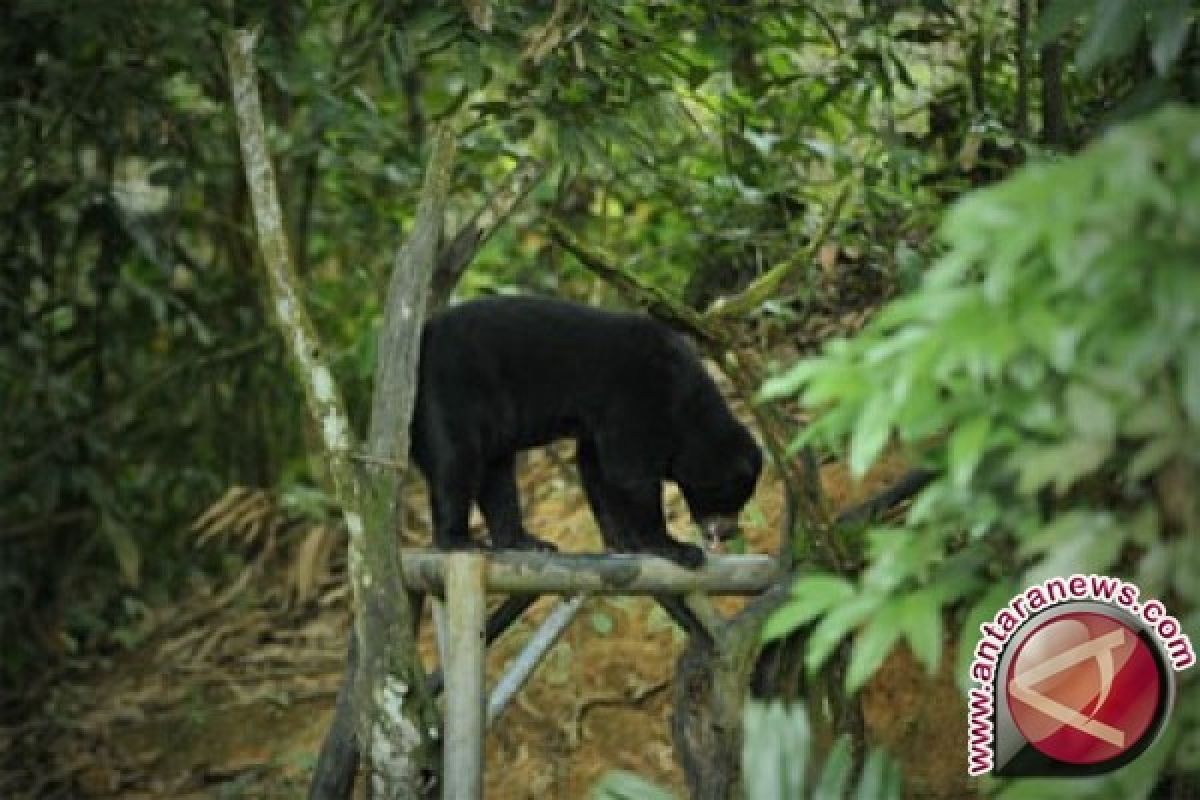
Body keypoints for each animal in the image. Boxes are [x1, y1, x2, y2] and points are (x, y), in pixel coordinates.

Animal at [412, 296, 758, 568]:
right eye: (733, 495)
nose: (729, 532)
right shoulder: (637, 396)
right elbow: (630, 472)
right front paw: (677, 548)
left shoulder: (601, 422)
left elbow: (597, 470)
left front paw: (623, 543)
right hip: (453, 388)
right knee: (457, 460)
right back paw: (459, 541)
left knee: (496, 472)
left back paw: (526, 541)